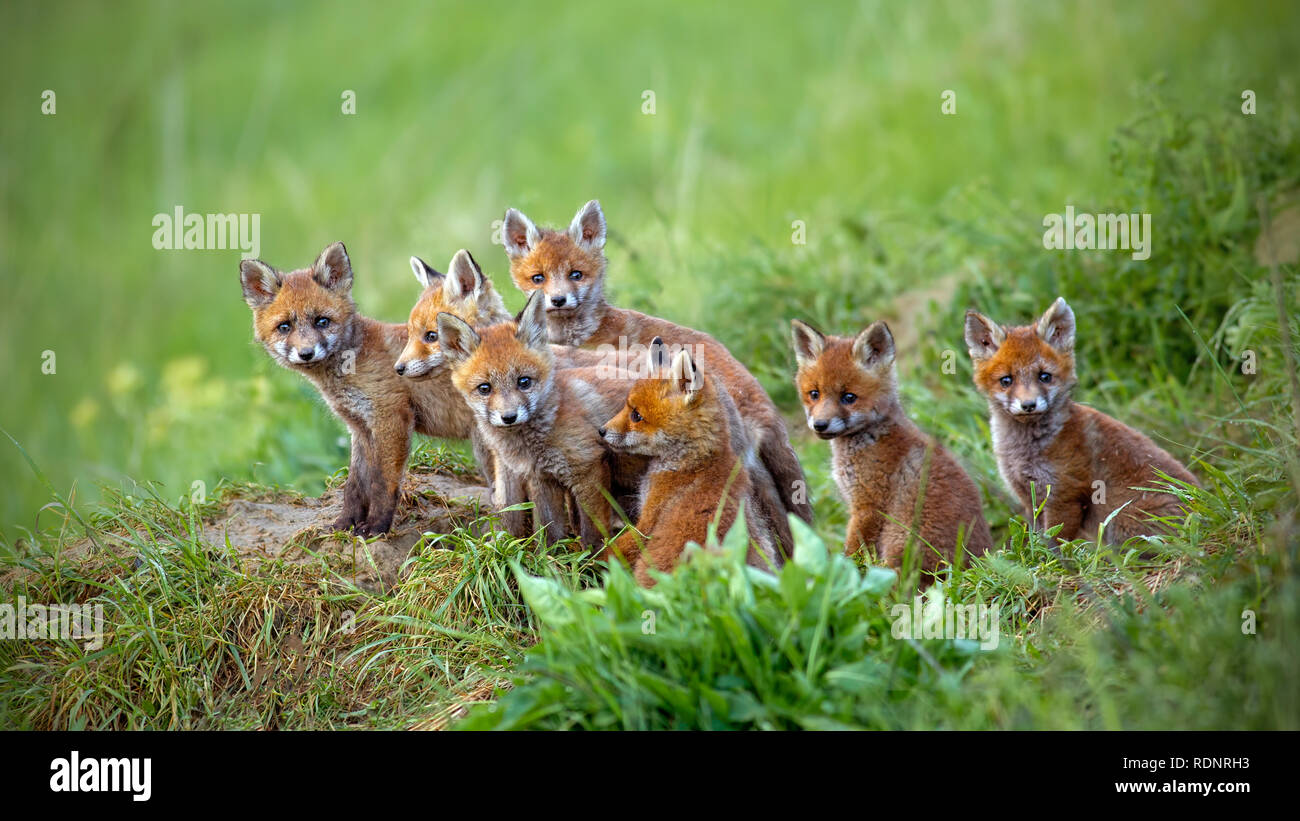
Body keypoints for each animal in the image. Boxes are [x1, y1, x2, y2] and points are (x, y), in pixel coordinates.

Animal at [239, 242, 474, 536]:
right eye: (284, 327)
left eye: (322, 321)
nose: (306, 353)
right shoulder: (360, 427)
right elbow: (355, 485)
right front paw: (344, 523)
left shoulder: (391, 418)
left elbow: (383, 483)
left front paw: (376, 526)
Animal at [437, 289, 637, 547]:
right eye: (484, 388)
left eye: (524, 381)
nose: (509, 417)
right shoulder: (541, 477)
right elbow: (546, 530)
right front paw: (544, 556)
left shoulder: (588, 469)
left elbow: (592, 533)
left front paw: (597, 557)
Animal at [792, 318, 993, 575]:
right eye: (814, 394)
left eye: (849, 397)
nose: (820, 425)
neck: (870, 437)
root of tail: (973, 566)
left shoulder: (868, 507)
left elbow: (854, 553)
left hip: (900, 542)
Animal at [964, 297, 1199, 544]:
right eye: (1006, 380)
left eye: (1044, 376)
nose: (1028, 405)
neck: (1024, 452)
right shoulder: (1029, 497)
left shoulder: (1065, 496)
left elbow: (1054, 543)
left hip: (1123, 523)